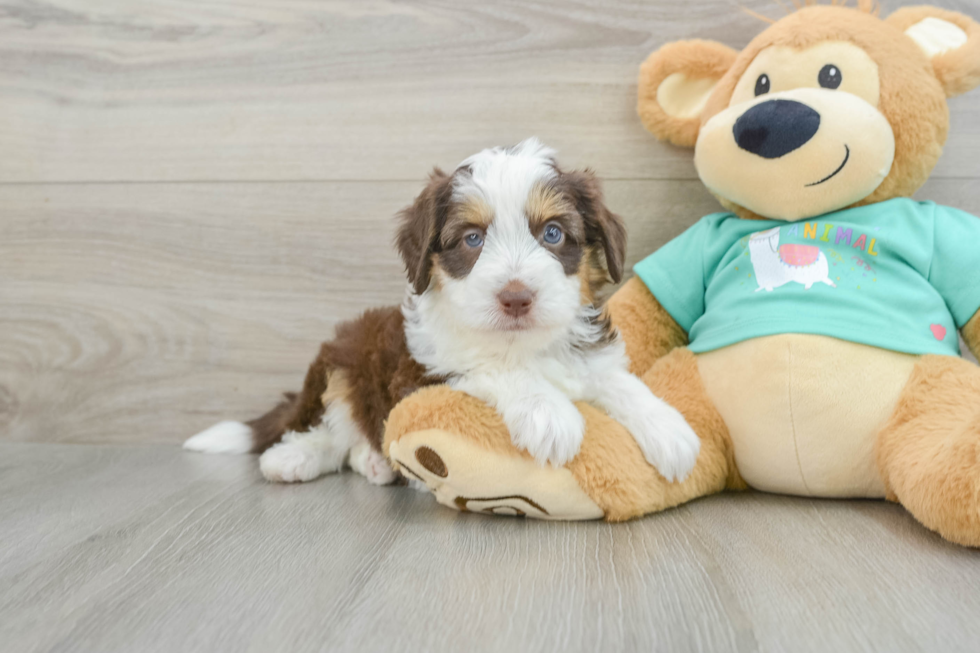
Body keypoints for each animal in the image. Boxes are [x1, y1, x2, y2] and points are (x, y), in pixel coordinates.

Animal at [184, 138, 700, 484]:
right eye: (472, 238)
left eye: (552, 233)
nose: (516, 297)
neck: (523, 344)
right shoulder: (422, 375)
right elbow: (487, 366)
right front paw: (548, 412)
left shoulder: (588, 355)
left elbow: (616, 381)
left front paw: (668, 428)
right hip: (341, 358)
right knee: (332, 426)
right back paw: (293, 459)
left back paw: (374, 462)